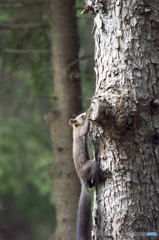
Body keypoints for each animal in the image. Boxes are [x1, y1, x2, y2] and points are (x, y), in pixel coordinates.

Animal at [69, 112, 110, 240]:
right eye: (81, 116)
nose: (85, 112)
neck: (75, 127)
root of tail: (82, 179)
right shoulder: (80, 132)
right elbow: (85, 129)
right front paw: (88, 118)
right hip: (91, 165)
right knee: (97, 178)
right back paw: (103, 176)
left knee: (92, 184)